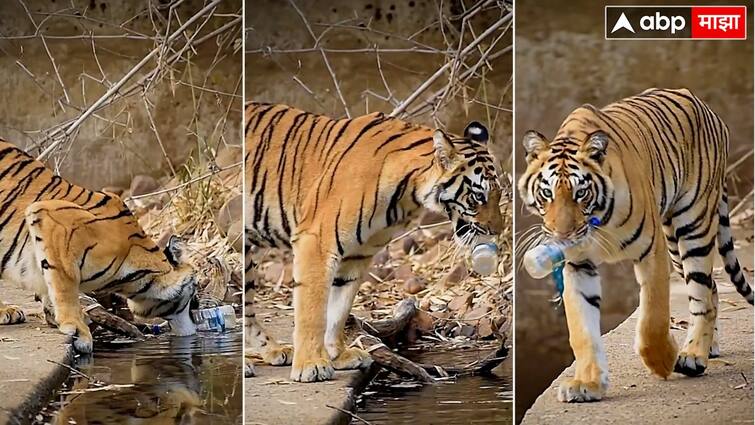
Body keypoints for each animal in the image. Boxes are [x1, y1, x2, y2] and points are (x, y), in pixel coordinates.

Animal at [0, 138, 198, 352]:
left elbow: (49, 282)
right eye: (193, 299)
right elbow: (64, 284)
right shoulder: (49, 219)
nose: (197, 328)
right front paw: (77, 329)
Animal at [247, 102, 502, 380]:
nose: (497, 230)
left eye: (499, 195)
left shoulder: (357, 253)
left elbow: (339, 307)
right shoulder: (317, 241)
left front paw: (338, 355)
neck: (407, 193)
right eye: (478, 197)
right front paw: (311, 365)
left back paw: (273, 351)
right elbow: (312, 310)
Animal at [520, 88, 755, 400]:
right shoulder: (578, 264)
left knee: (701, 294)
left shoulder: (651, 250)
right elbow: (582, 330)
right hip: (674, 242)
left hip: (693, 225)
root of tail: (704, 105)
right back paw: (709, 348)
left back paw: (692, 355)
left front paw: (662, 361)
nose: (563, 235)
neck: (598, 222)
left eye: (581, 193)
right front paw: (586, 384)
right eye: (547, 193)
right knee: (711, 288)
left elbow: (653, 317)